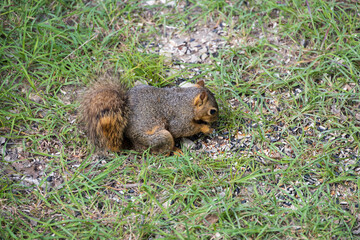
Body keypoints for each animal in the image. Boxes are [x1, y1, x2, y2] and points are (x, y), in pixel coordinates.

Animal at [79, 79, 218, 154]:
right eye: (212, 111)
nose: (217, 118)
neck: (185, 100)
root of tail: (131, 144)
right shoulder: (180, 118)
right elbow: (182, 130)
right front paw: (206, 128)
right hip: (160, 138)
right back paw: (175, 150)